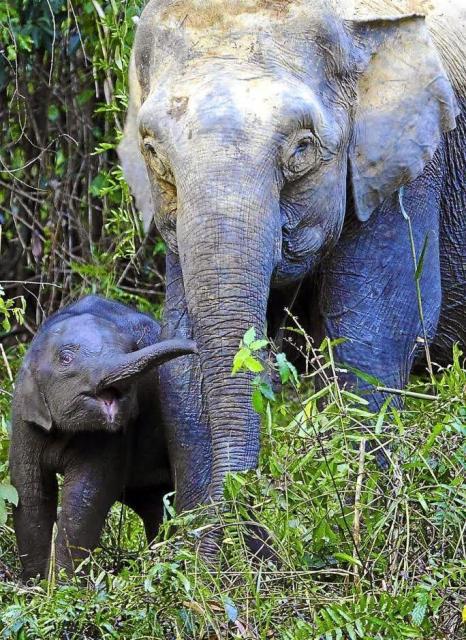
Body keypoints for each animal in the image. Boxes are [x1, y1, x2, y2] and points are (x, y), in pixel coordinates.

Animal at [9, 295, 196, 580]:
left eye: (132, 347)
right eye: (66, 358)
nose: (195, 347)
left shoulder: (115, 435)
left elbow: (86, 494)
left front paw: (62, 584)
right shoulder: (24, 418)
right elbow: (30, 490)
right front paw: (36, 583)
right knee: (153, 502)